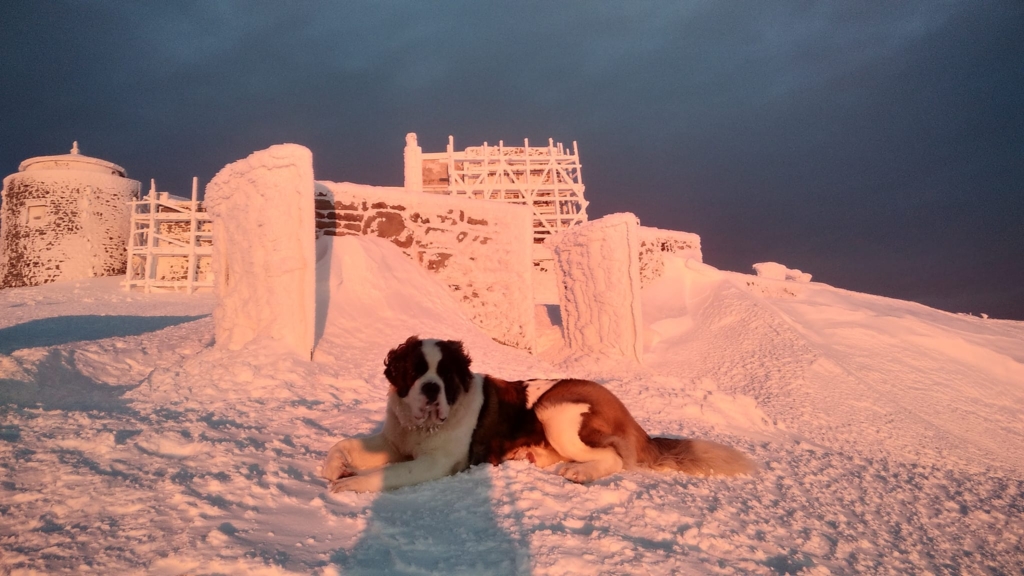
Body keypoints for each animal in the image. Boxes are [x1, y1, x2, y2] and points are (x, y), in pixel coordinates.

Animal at [323, 334, 757, 491]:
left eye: (444, 375)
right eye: (416, 372)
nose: (431, 390)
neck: (421, 428)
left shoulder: (436, 463)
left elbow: (392, 473)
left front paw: (350, 483)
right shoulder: (393, 440)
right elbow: (343, 442)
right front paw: (334, 466)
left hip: (555, 412)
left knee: (615, 457)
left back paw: (580, 472)